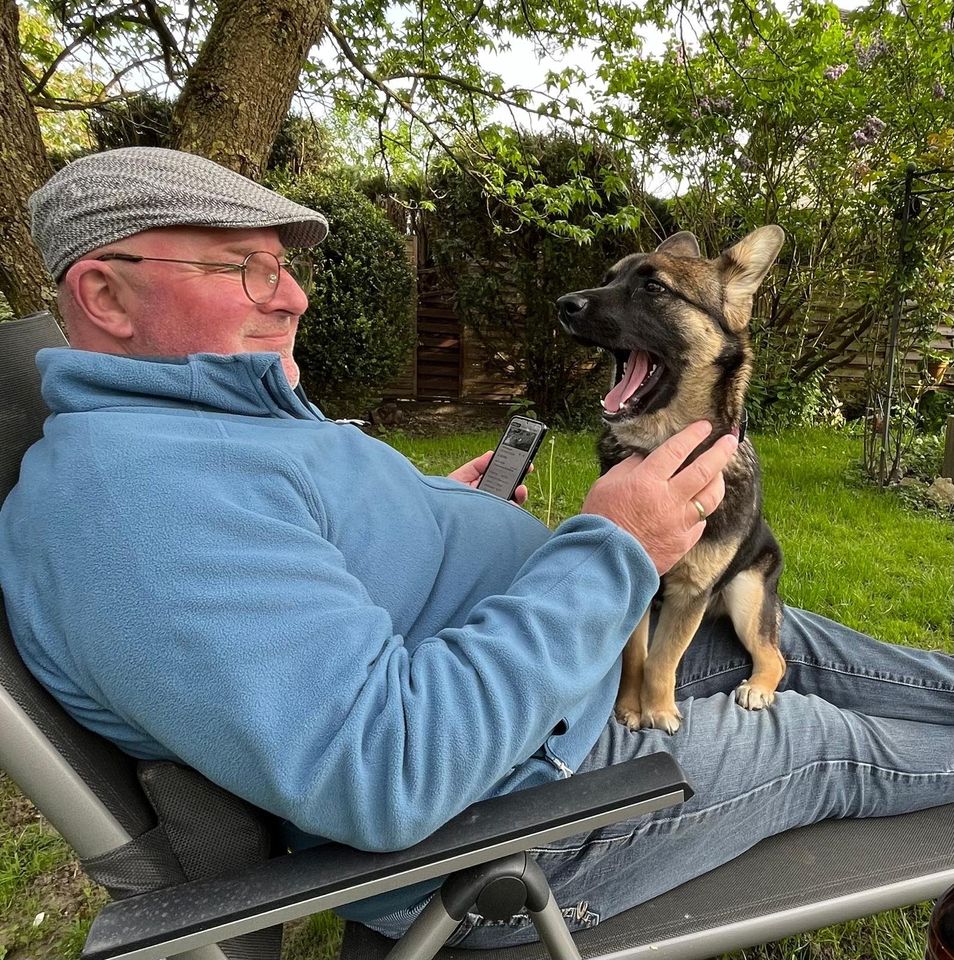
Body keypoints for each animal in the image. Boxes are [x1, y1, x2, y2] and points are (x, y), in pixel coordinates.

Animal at [556, 227, 784, 736]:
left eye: (654, 287)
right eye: (608, 278)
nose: (563, 303)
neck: (661, 447)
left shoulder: (689, 594)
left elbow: (663, 658)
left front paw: (659, 710)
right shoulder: (638, 591)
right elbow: (635, 656)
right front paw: (629, 707)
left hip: (744, 594)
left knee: (774, 654)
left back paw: (758, 687)